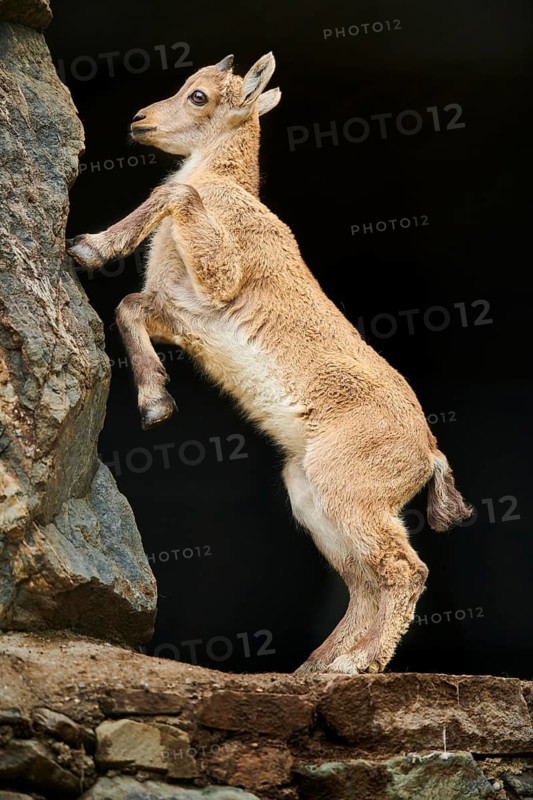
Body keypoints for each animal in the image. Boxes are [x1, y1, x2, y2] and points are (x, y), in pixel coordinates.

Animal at [67, 52, 473, 674]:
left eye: (200, 96)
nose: (140, 121)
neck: (226, 189)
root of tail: (428, 454)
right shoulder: (179, 314)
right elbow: (128, 307)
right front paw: (157, 404)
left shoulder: (218, 279)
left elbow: (175, 195)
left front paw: (91, 246)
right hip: (312, 496)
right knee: (365, 583)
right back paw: (316, 669)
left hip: (350, 489)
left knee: (405, 571)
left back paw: (355, 665)